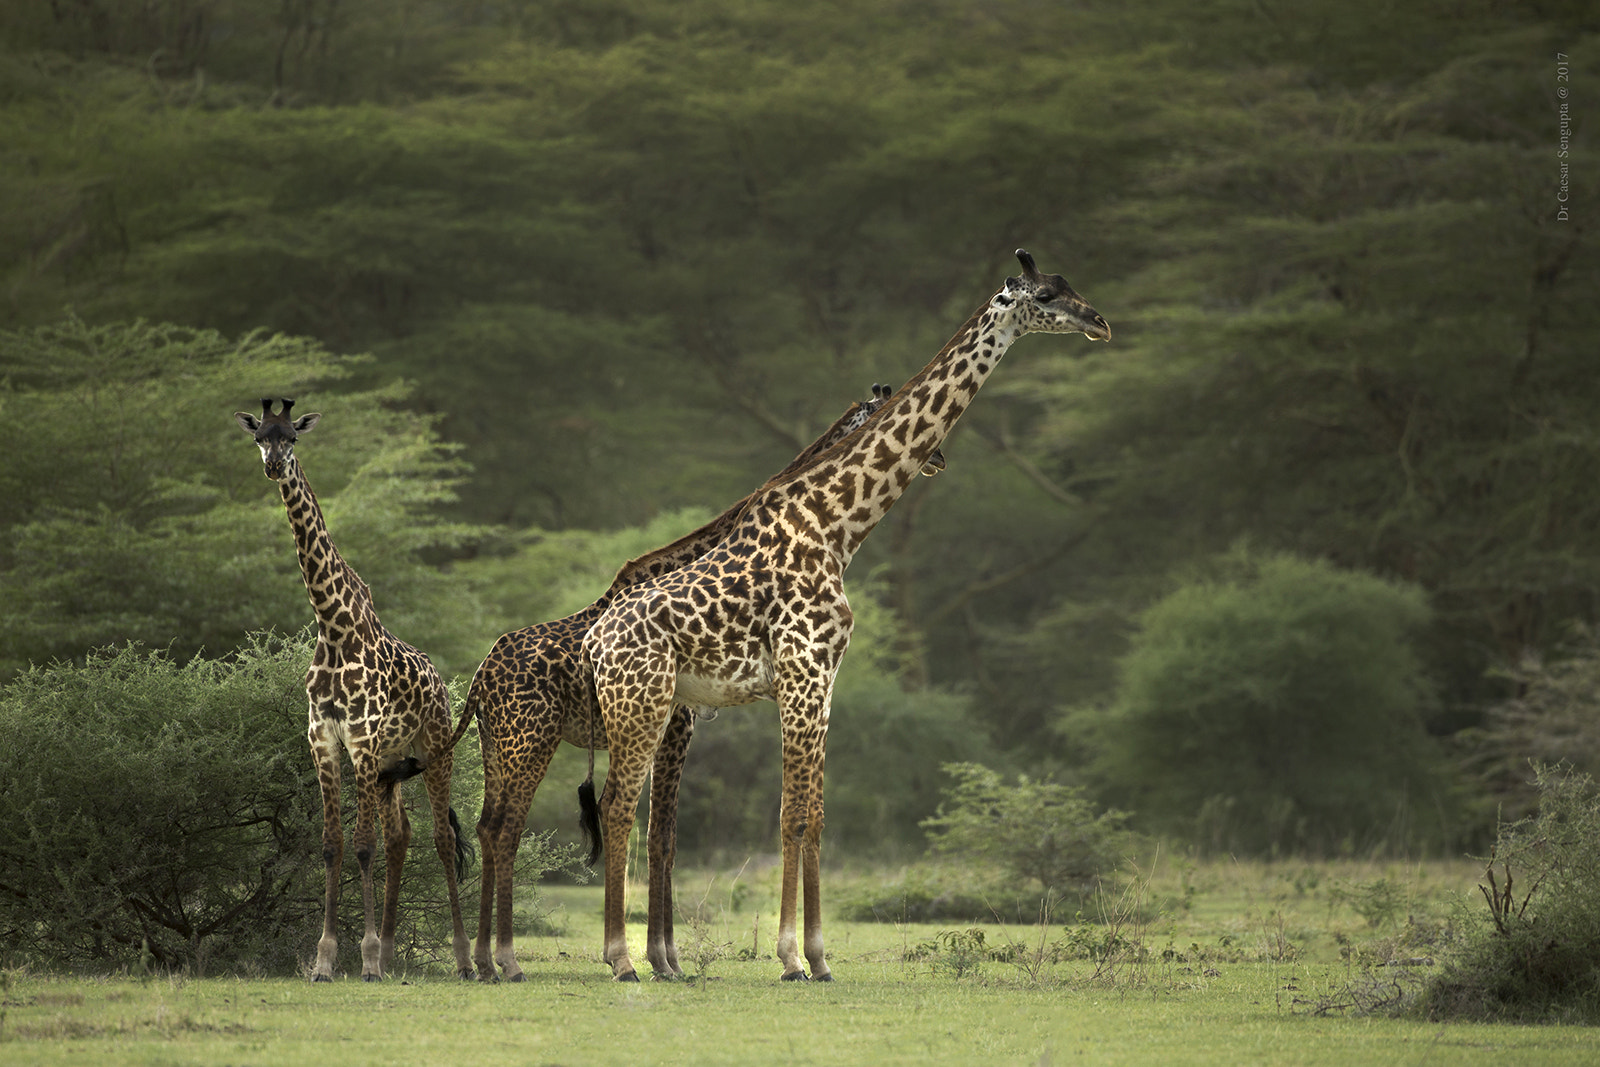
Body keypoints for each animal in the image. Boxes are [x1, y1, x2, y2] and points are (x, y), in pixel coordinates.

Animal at [234, 399, 474, 982]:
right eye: (260, 437)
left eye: (293, 438)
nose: (274, 466)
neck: (333, 625)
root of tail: (441, 685)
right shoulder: (323, 737)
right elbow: (332, 845)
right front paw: (326, 960)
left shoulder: (361, 736)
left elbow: (362, 846)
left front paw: (360, 957)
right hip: (390, 769)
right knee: (400, 836)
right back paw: (388, 952)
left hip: (433, 751)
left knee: (438, 838)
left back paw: (461, 959)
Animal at [462, 381, 943, 982]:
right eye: (878, 408)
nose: (938, 458)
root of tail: (480, 676)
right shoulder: (680, 723)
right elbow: (661, 837)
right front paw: (662, 959)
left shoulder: (679, 722)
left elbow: (664, 837)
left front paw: (667, 960)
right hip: (531, 738)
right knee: (507, 827)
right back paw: (507, 961)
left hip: (497, 744)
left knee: (488, 825)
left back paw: (483, 960)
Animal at [582, 250, 1109, 981]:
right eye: (1047, 295)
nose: (1101, 321)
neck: (837, 524)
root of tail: (595, 638)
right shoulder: (801, 669)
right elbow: (790, 815)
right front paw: (788, 958)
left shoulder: (825, 677)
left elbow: (816, 815)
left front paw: (820, 957)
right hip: (646, 705)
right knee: (619, 807)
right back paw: (623, 960)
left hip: (656, 709)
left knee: (632, 814)